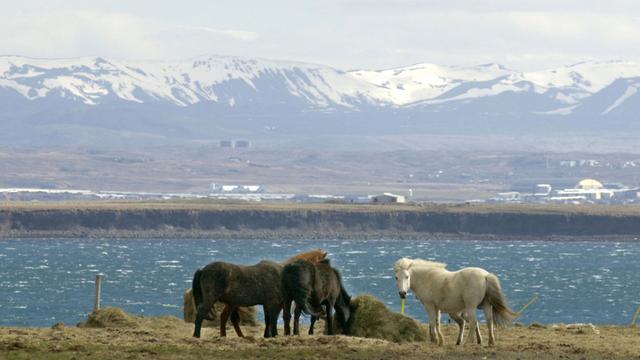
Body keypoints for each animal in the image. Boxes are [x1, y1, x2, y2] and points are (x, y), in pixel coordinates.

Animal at [201, 249, 330, 338]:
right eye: (322, 264)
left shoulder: (279, 302)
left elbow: (278, 316)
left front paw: (273, 334)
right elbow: (278, 316)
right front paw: (278, 333)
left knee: (231, 318)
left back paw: (240, 335)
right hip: (232, 303)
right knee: (224, 316)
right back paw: (225, 335)